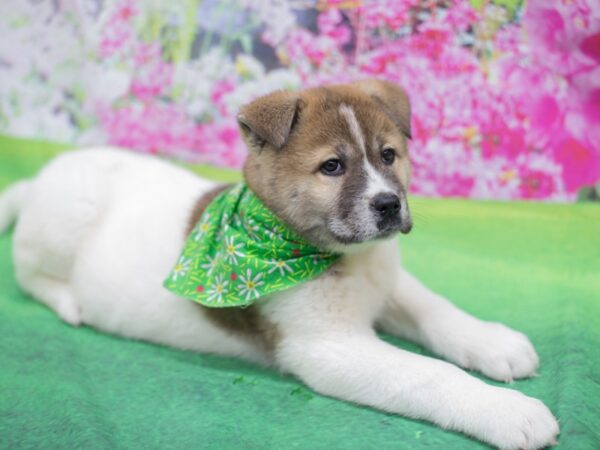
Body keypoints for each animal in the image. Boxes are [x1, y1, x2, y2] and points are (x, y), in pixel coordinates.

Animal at [0, 79, 560, 448]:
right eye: (332, 167)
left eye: (388, 156)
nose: (388, 205)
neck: (339, 259)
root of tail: (39, 181)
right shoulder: (328, 346)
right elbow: (428, 375)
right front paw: (505, 410)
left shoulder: (389, 282)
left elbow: (436, 309)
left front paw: (492, 342)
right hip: (62, 225)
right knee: (27, 271)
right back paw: (69, 302)